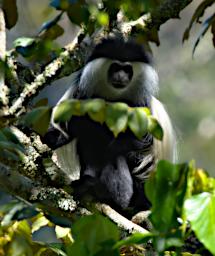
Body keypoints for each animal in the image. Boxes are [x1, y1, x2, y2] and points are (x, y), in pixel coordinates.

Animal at [42, 36, 177, 212]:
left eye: (127, 69)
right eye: (115, 67)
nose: (120, 76)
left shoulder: (142, 105)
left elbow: (142, 143)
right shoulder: (81, 93)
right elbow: (65, 131)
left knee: (119, 155)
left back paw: (111, 196)